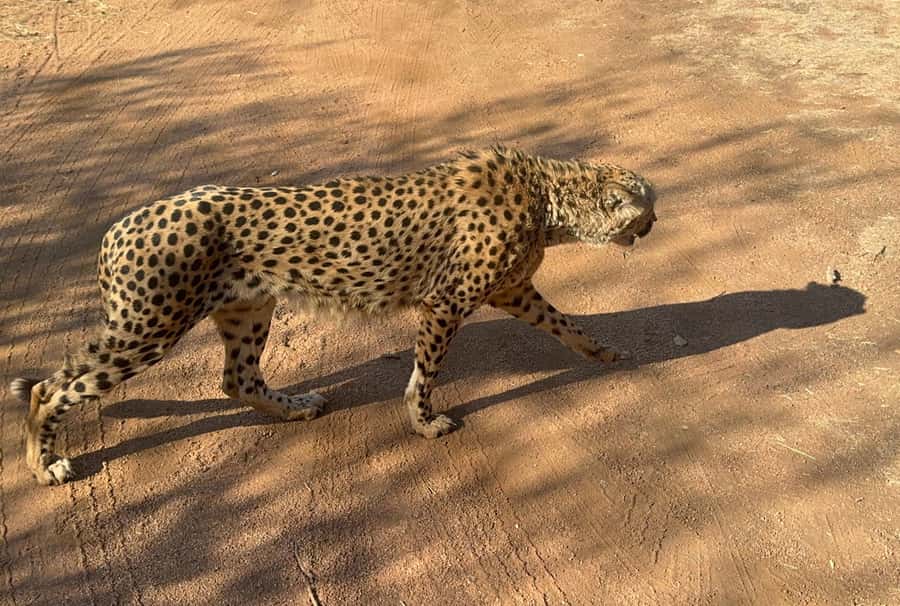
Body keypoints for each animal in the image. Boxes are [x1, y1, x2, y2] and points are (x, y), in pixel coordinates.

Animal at [10, 145, 657, 486]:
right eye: (646, 206)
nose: (655, 225)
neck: (548, 196)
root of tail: (120, 224)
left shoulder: (514, 291)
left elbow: (566, 324)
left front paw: (607, 352)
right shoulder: (445, 302)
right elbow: (425, 375)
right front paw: (424, 423)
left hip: (249, 307)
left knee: (237, 379)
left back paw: (296, 407)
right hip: (148, 327)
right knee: (51, 388)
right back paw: (44, 466)